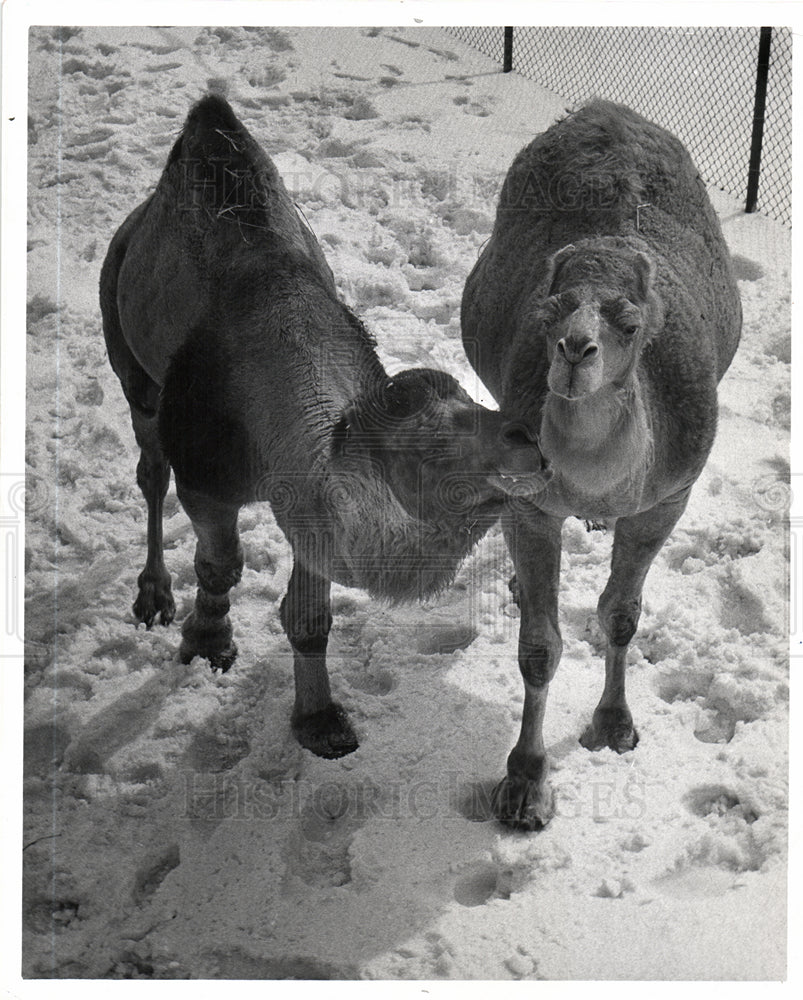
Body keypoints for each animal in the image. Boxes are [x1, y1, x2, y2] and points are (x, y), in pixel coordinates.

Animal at [99, 97, 552, 756]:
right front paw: (207, 643)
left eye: (474, 402)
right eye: (424, 451)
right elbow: (219, 563)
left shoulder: (308, 496)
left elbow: (309, 615)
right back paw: (153, 596)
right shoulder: (208, 475)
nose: (529, 442)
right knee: (152, 466)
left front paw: (320, 721)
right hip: (128, 342)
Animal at [462, 101, 744, 832]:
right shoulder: (530, 501)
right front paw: (525, 785)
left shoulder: (667, 496)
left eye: (629, 321)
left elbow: (620, 614)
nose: (573, 349)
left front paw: (615, 725)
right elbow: (539, 646)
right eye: (549, 310)